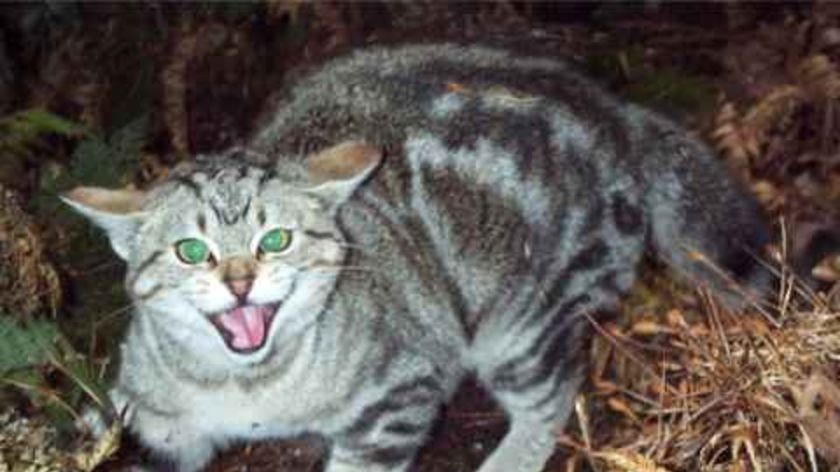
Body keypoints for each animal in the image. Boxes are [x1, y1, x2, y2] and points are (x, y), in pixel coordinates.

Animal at [65, 42, 772, 470]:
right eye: (192, 251)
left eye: (276, 240)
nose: (241, 282)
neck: (247, 391)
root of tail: (618, 114)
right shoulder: (144, 406)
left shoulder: (398, 392)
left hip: (523, 324)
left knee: (553, 394)